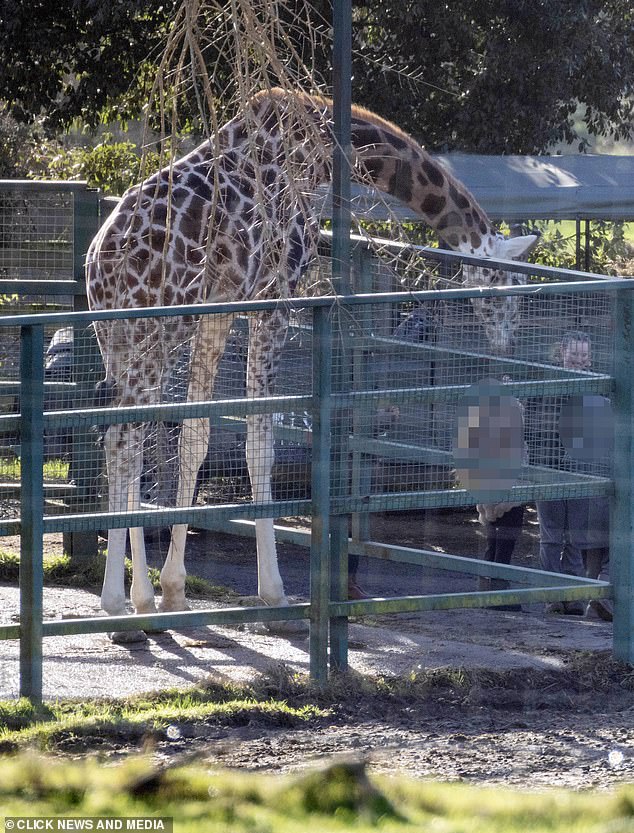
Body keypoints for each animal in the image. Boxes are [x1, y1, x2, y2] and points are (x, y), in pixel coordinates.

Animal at [86, 88, 538, 639]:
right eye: (507, 293)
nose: (506, 345)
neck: (318, 152)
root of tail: (99, 266)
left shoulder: (221, 306)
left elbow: (197, 436)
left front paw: (175, 592)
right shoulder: (275, 298)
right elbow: (259, 440)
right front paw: (275, 597)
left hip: (120, 338)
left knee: (124, 436)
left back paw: (140, 603)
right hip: (153, 331)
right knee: (125, 441)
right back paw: (119, 607)